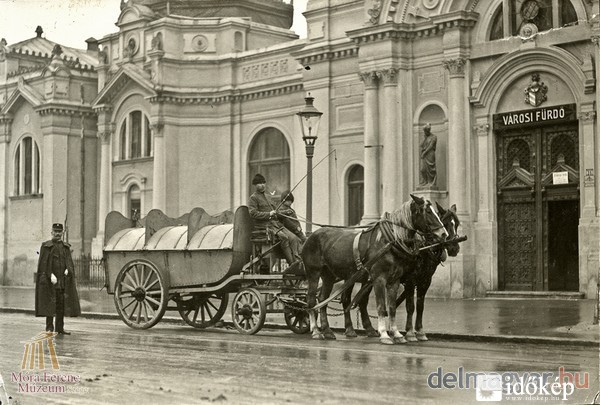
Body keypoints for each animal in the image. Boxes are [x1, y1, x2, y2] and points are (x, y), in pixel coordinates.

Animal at [302, 194, 448, 342]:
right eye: (428, 211)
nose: (443, 234)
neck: (389, 242)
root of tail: (311, 235)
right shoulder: (381, 279)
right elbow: (382, 306)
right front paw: (384, 333)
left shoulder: (396, 281)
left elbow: (392, 308)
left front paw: (397, 333)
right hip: (314, 273)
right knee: (311, 300)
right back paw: (316, 330)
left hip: (330, 276)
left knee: (323, 300)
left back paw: (327, 330)